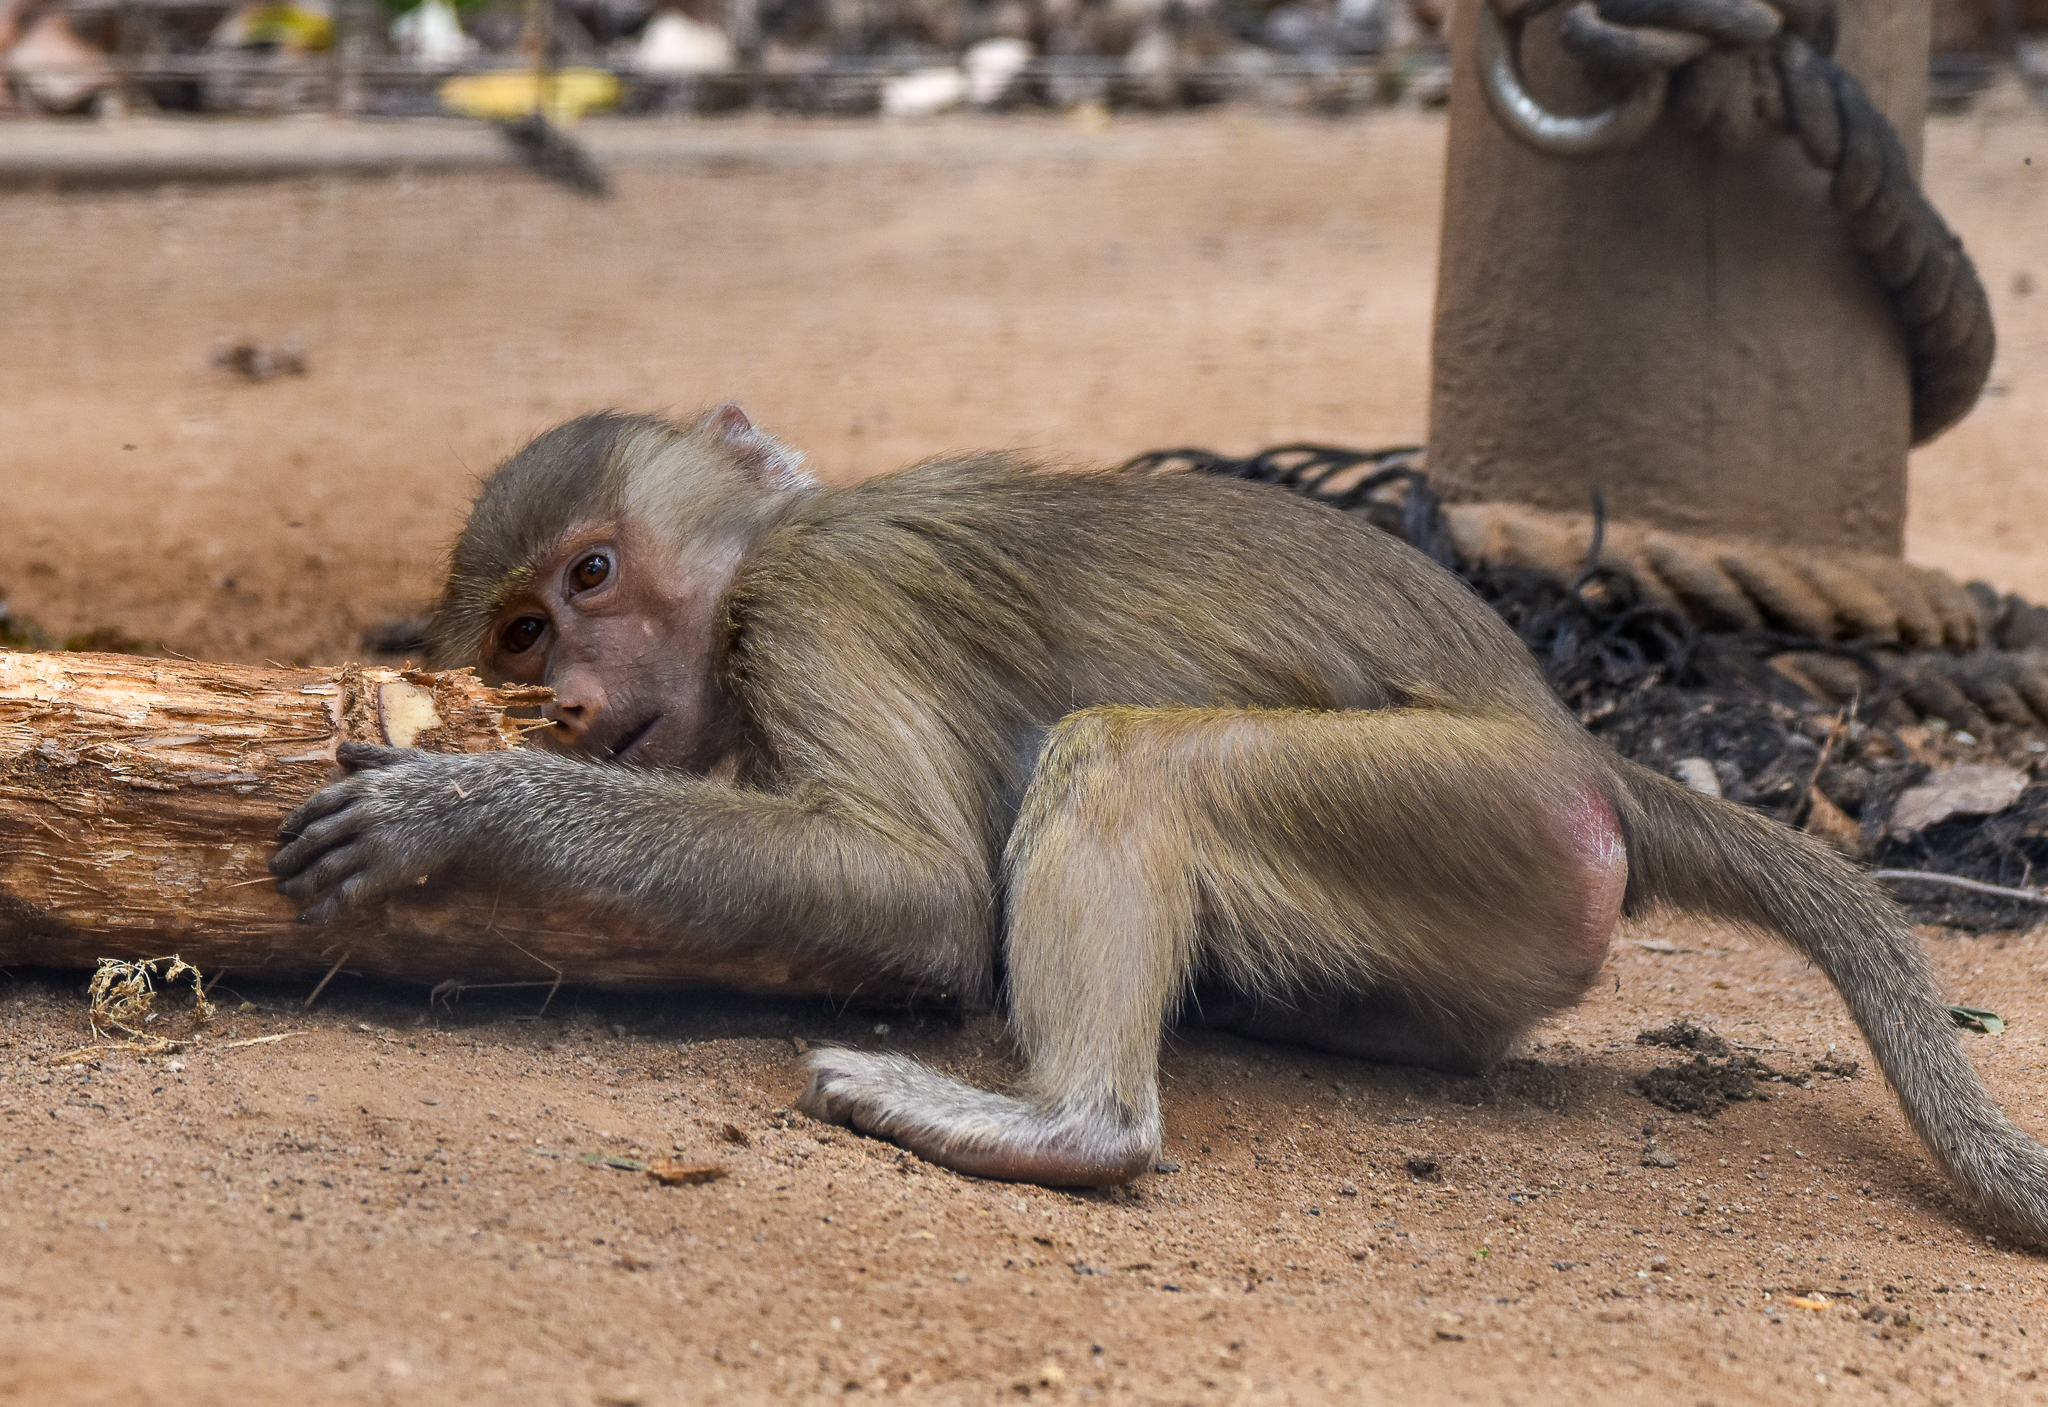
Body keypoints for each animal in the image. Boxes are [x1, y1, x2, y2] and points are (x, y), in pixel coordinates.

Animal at [272, 405, 2048, 1241]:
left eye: (591, 576)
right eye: (516, 635)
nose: (568, 700)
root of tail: (1578, 747)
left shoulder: (819, 599)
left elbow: (919, 889)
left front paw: (468, 809)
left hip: (1484, 813)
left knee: (1127, 764)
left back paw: (1069, 1125)